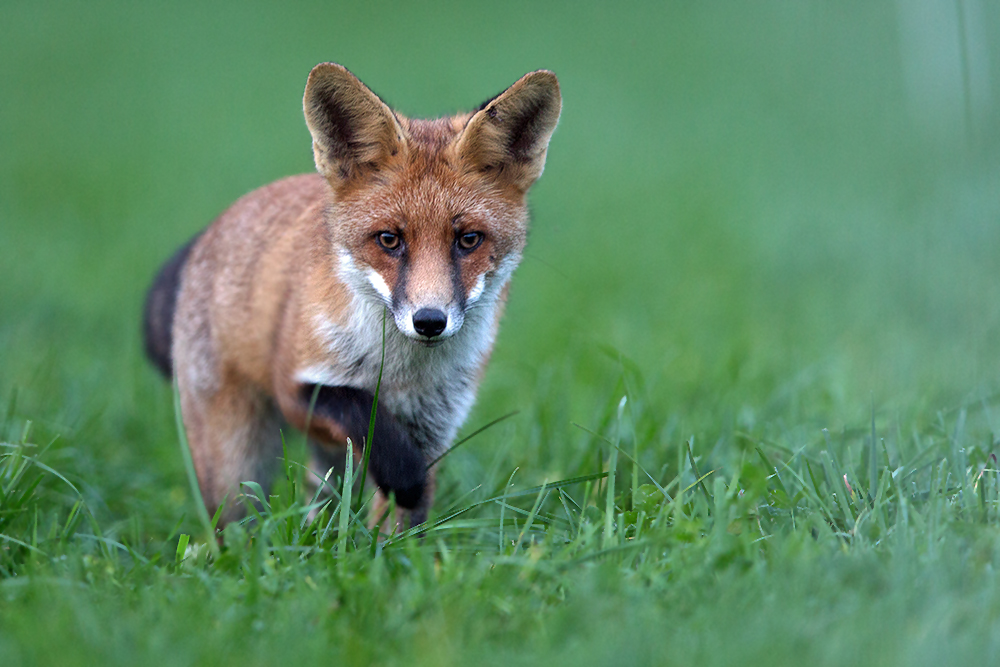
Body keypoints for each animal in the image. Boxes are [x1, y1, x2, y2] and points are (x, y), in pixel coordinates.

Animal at [142, 64, 564, 532]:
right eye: (389, 239)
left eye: (469, 240)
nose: (429, 321)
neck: (398, 372)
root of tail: (211, 230)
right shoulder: (298, 386)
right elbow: (366, 416)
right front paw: (405, 478)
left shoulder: (434, 424)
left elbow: (401, 525)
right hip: (237, 464)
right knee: (236, 525)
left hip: (322, 463)